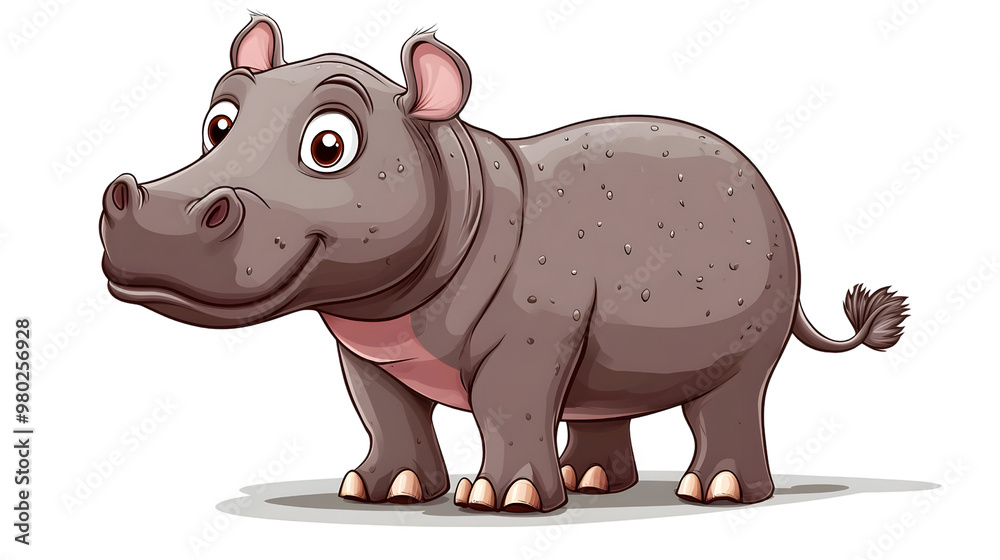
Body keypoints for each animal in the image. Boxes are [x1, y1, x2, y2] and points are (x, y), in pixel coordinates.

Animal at [99, 14, 909, 513]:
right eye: (217, 123)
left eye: (330, 145)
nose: (158, 211)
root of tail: (775, 196)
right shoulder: (365, 347)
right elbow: (385, 412)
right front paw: (382, 491)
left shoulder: (529, 334)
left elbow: (506, 403)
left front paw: (499, 502)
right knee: (603, 396)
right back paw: (591, 483)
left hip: (753, 323)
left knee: (731, 399)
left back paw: (717, 494)